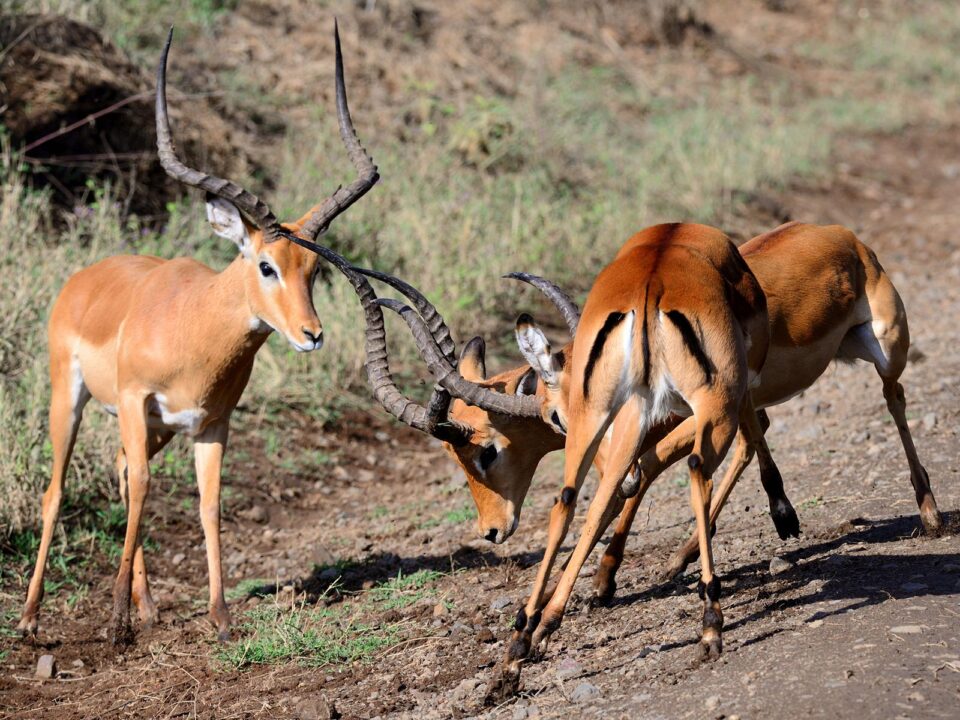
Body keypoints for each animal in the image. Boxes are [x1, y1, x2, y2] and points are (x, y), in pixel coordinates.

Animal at [17, 25, 378, 644]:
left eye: (313, 269)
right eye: (265, 265)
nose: (311, 334)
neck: (194, 329)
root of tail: (83, 279)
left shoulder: (211, 423)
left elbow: (209, 504)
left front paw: (221, 617)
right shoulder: (135, 399)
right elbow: (142, 486)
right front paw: (115, 625)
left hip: (158, 427)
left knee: (120, 471)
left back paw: (149, 608)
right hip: (73, 399)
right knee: (58, 490)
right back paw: (31, 617)